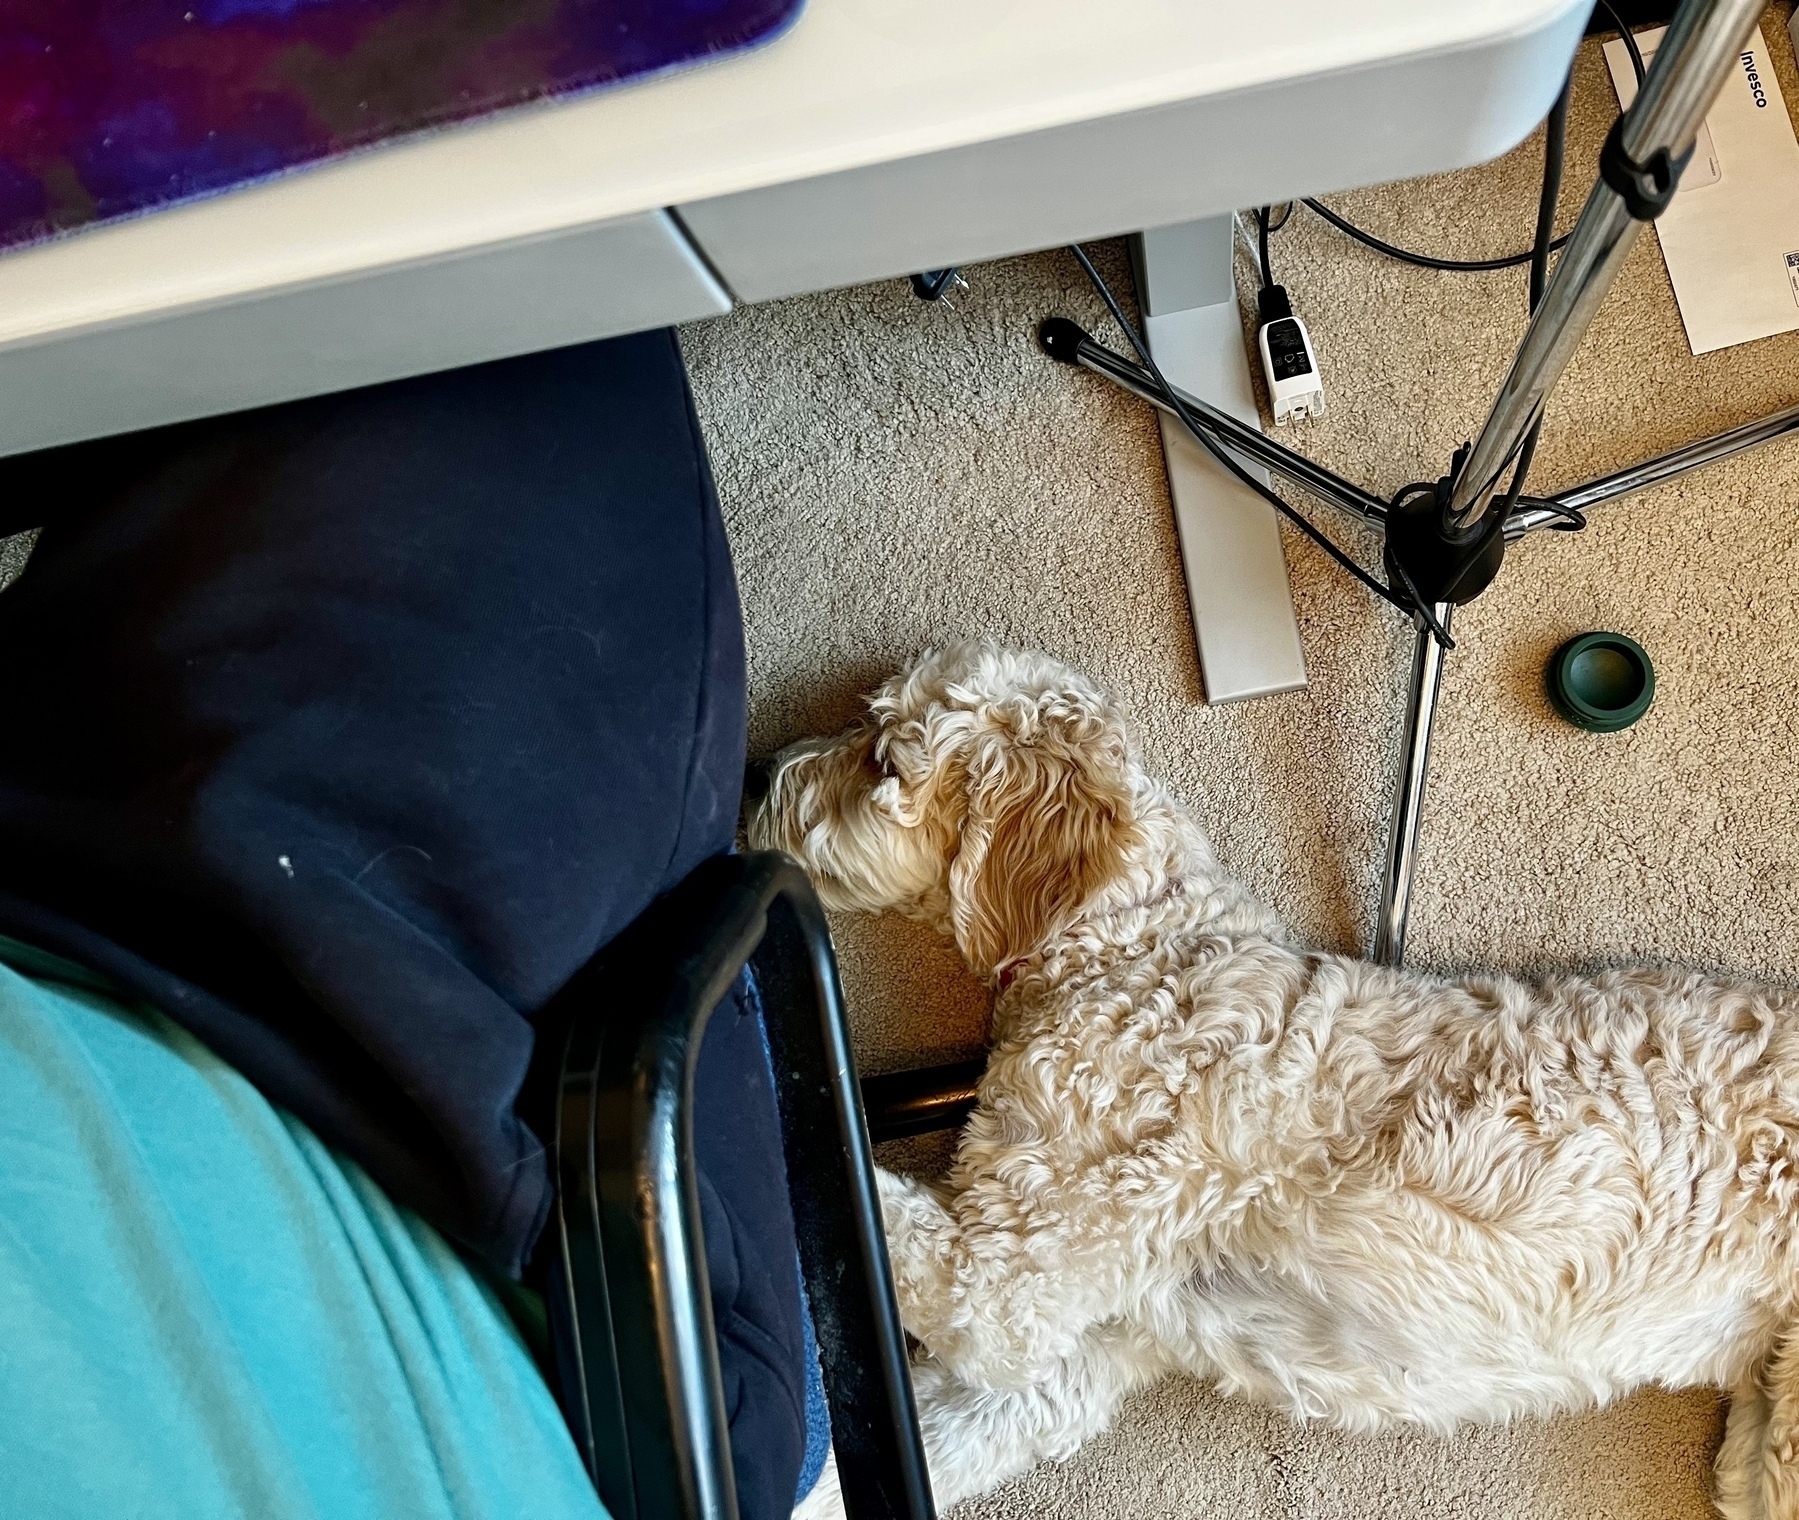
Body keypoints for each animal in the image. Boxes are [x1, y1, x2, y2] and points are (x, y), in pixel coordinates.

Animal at [751, 640, 1799, 1518]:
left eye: (881, 758)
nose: (760, 776)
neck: (1127, 943)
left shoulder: (1005, 1281)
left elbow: (865, 1200)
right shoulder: (1065, 1355)